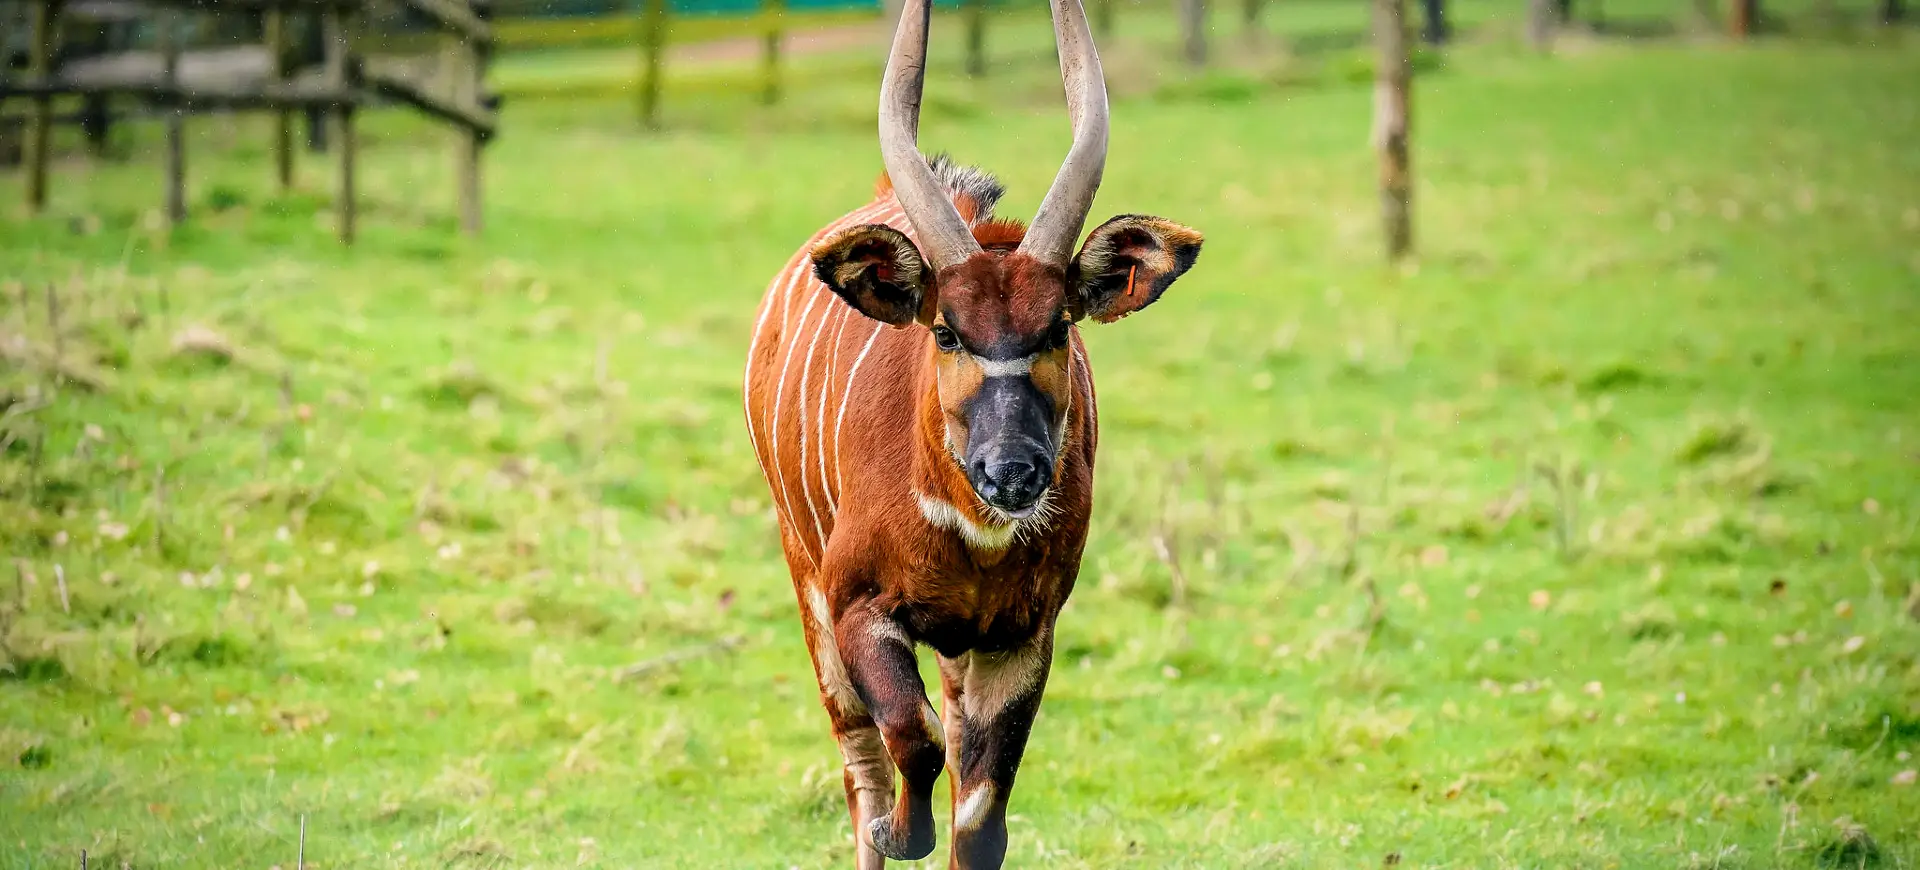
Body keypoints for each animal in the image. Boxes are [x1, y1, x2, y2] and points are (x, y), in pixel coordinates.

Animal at [737, 0, 1198, 856]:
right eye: (947, 330)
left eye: (1058, 325)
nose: (1010, 471)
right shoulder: (855, 605)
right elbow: (909, 743)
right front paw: (898, 832)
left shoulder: (1021, 634)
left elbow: (979, 817)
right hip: (805, 577)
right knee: (860, 766)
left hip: (956, 651)